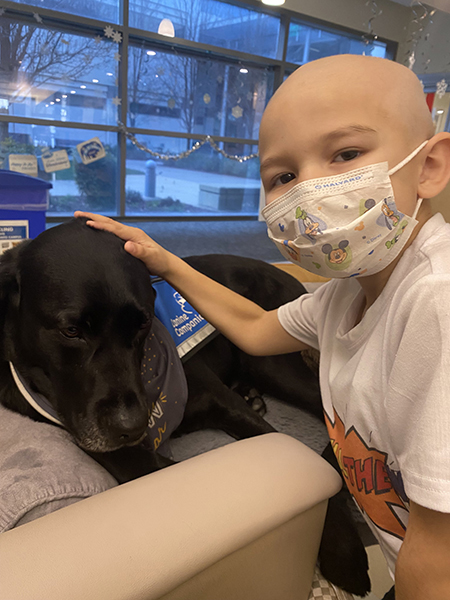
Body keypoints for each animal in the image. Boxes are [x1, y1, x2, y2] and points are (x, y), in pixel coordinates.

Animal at [0, 217, 370, 596]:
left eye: (144, 322)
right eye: (71, 330)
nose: (131, 427)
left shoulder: (224, 404)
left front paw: (343, 548)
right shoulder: (131, 460)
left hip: (271, 361)